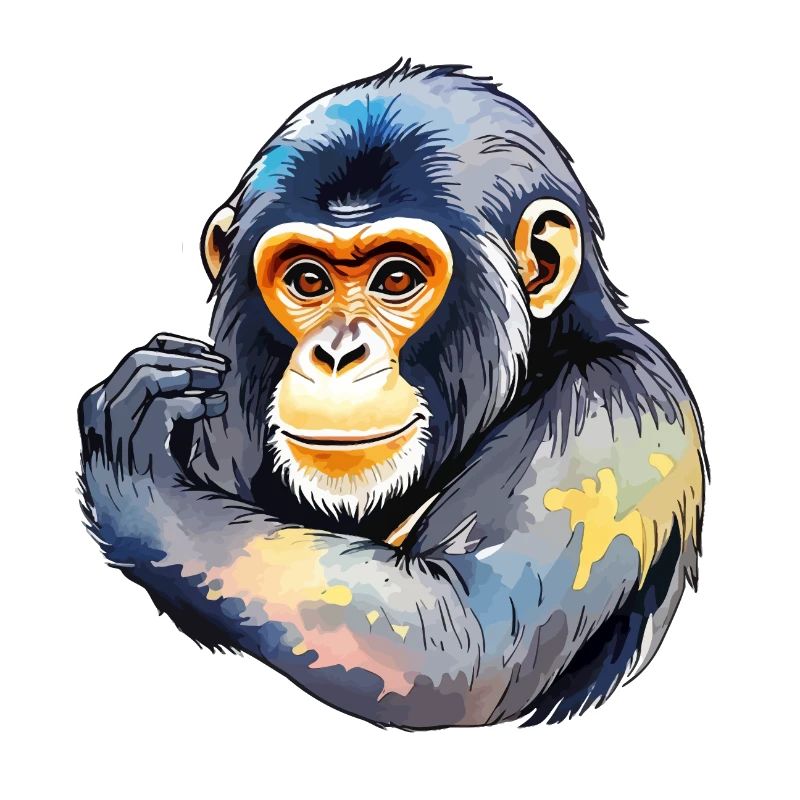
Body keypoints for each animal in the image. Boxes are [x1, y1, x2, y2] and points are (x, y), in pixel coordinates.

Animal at [78, 61, 707, 729]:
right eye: (308, 279)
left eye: (397, 277)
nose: (336, 353)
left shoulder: (611, 419)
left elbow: (461, 636)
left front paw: (137, 460)